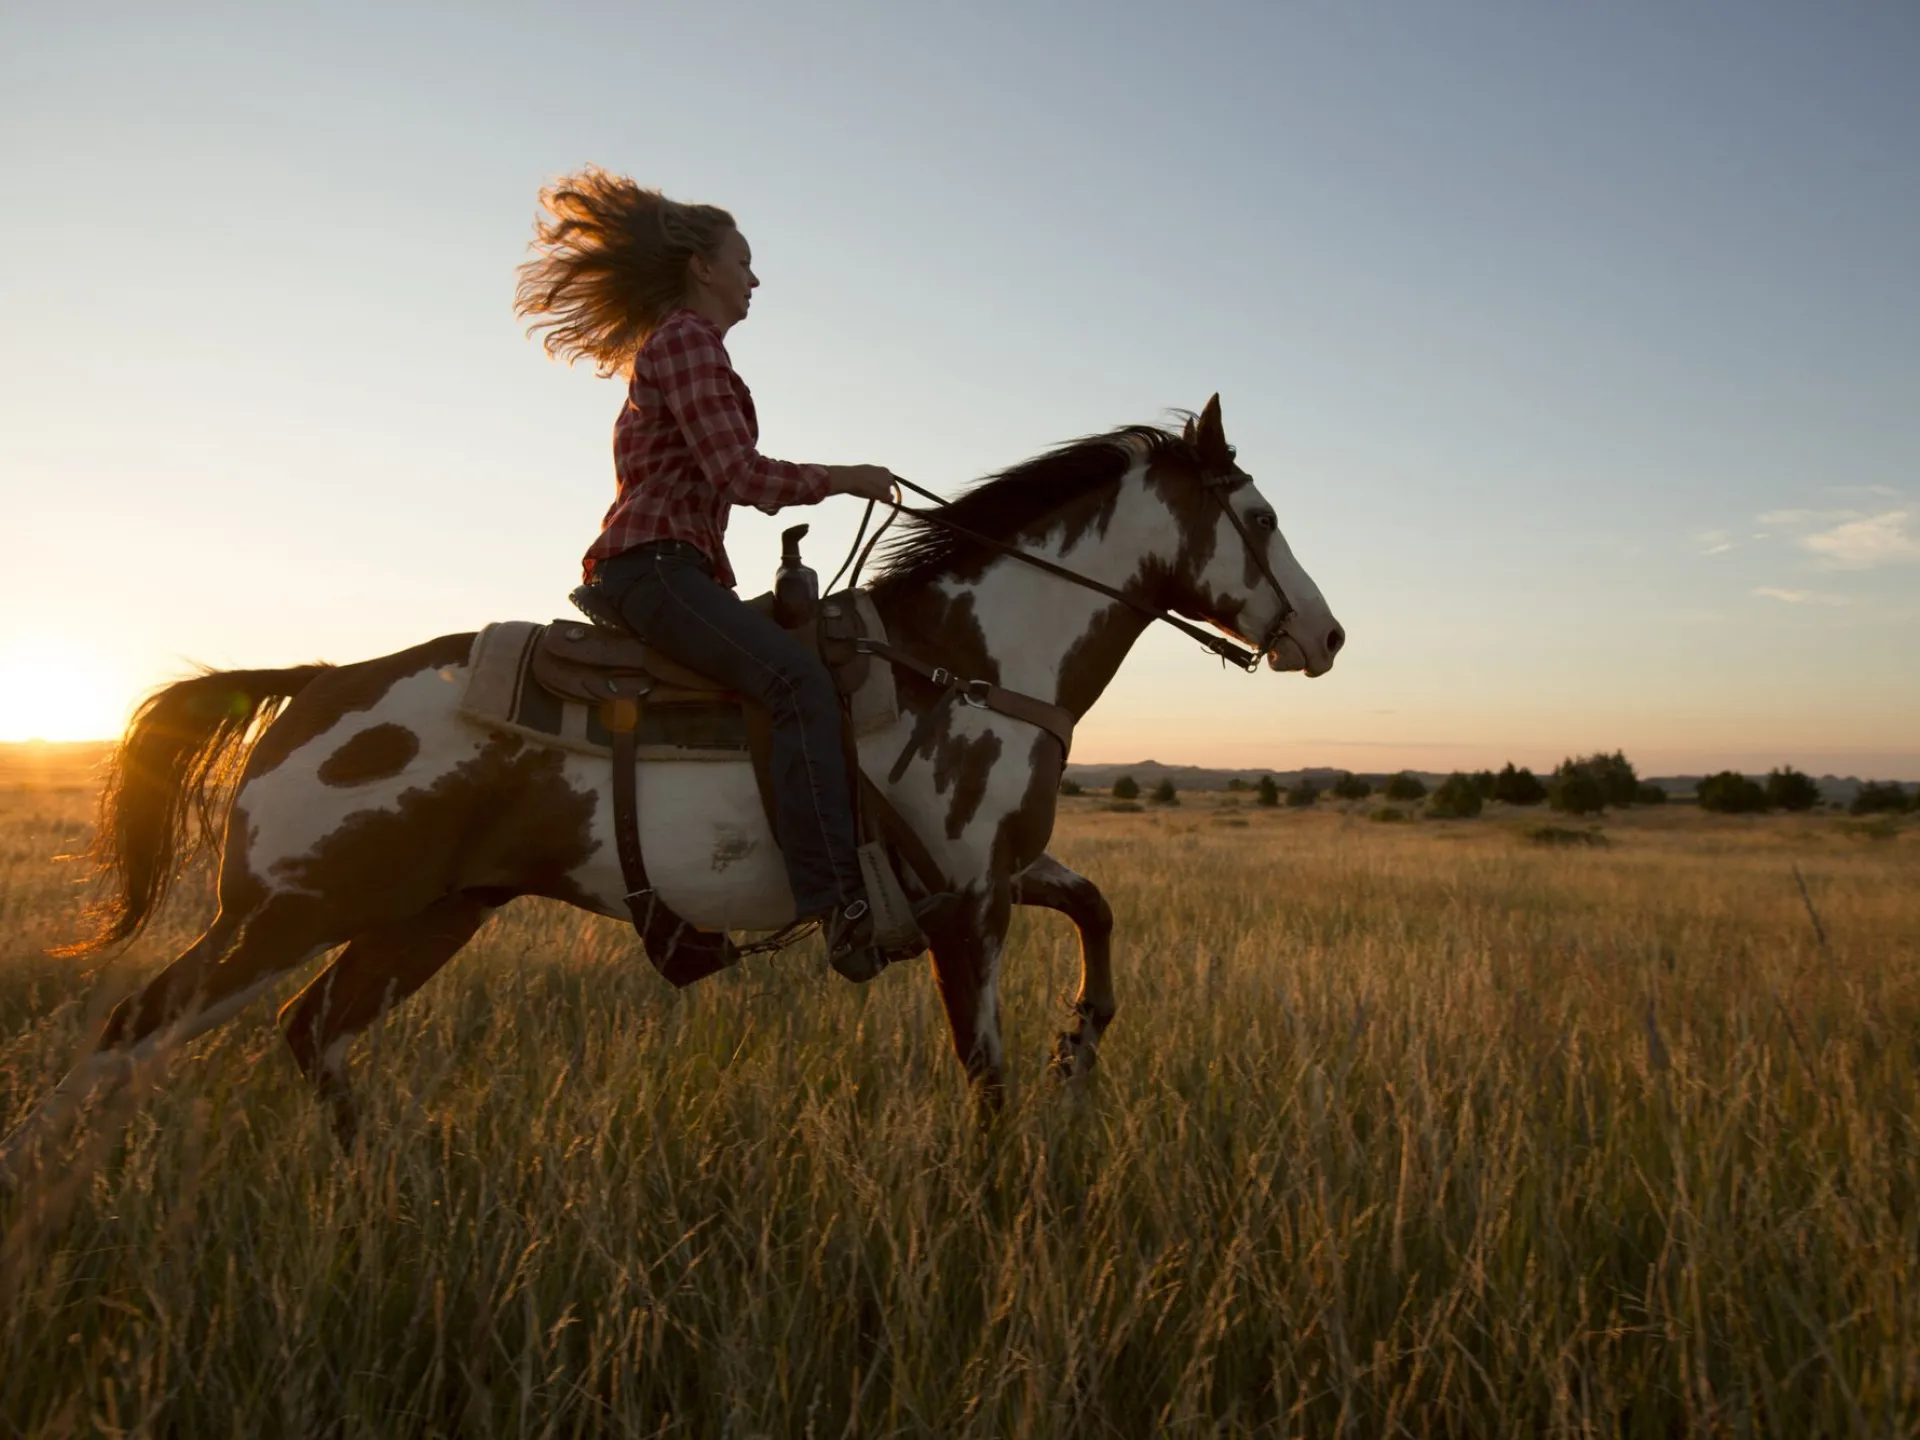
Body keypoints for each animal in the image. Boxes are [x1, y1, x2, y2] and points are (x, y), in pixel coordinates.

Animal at [0, 395, 1342, 1178]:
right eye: (1263, 514)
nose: (1325, 637)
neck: (971, 660)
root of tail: (317, 684)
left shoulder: (1002, 872)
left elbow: (1100, 913)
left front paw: (1083, 1044)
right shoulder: (967, 907)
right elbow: (987, 1079)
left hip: (426, 916)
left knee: (312, 1035)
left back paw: (388, 1186)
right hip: (287, 911)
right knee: (131, 1035)